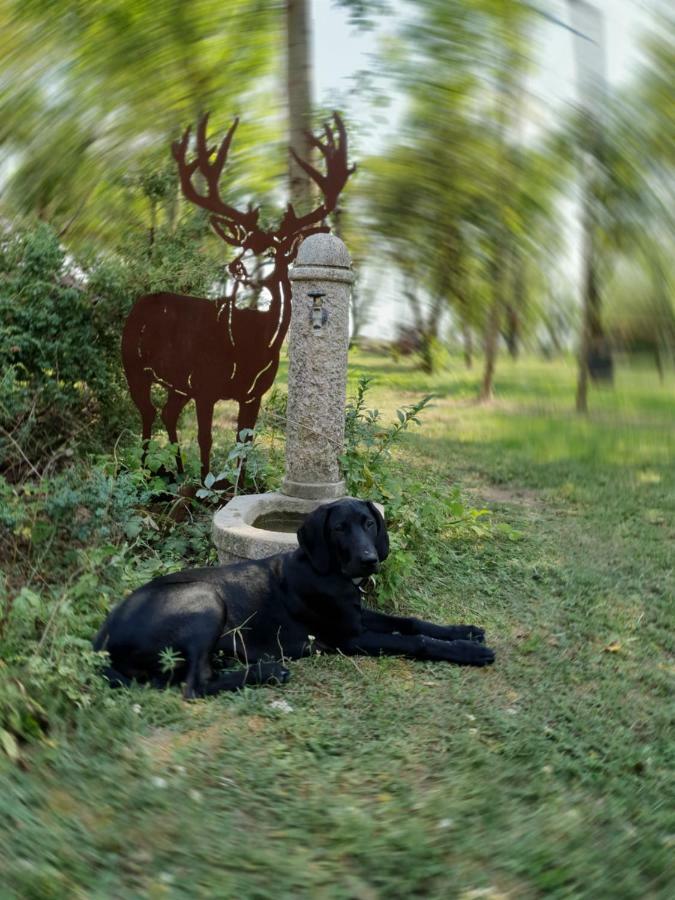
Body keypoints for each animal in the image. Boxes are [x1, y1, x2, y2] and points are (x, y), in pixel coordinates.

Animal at [93, 500, 496, 696]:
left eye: (369, 523)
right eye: (339, 528)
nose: (369, 560)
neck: (329, 571)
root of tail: (101, 638)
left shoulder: (358, 617)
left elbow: (411, 623)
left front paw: (464, 630)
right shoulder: (349, 638)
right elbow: (416, 641)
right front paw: (469, 651)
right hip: (205, 598)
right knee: (194, 686)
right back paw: (268, 671)